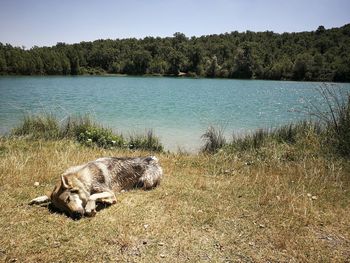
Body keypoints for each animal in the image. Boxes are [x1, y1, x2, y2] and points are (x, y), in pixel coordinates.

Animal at [28, 157, 163, 221]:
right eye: (63, 209)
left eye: (68, 199)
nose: (76, 215)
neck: (84, 179)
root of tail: (153, 158)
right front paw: (38, 199)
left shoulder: (110, 192)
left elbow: (92, 196)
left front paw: (90, 207)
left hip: (146, 181)